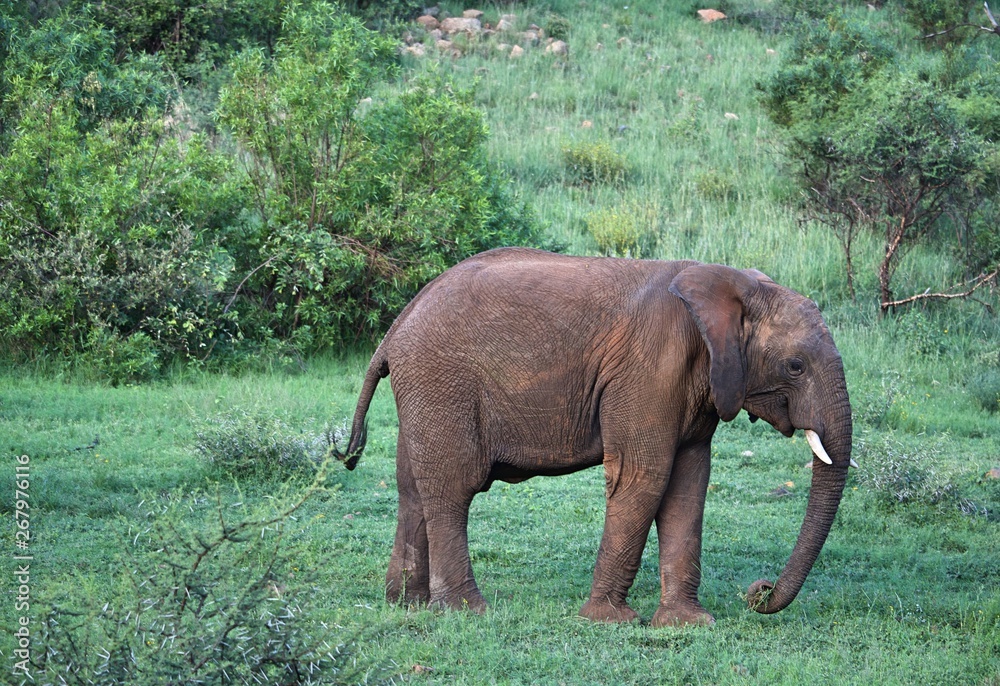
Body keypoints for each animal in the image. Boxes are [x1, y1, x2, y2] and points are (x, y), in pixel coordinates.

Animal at [335, 247, 855, 627]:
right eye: (796, 366)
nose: (759, 593)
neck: (729, 286)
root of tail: (396, 327)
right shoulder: (649, 371)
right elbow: (643, 478)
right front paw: (611, 621)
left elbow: (689, 485)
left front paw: (689, 624)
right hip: (442, 383)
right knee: (452, 488)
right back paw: (467, 611)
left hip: (425, 392)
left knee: (412, 489)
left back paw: (406, 604)